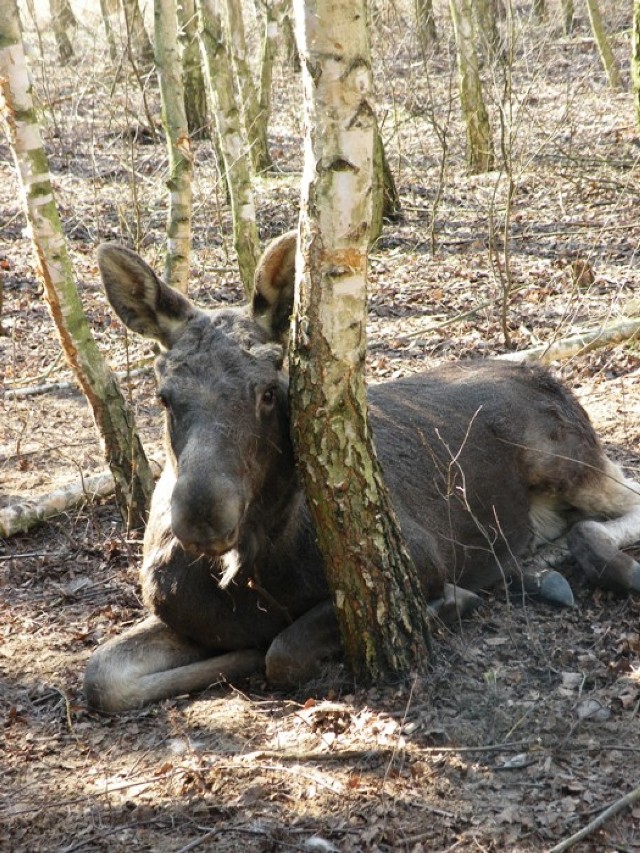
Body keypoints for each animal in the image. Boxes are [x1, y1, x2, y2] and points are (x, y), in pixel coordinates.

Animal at [85, 231, 640, 712]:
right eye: (165, 396)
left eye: (269, 391)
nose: (201, 515)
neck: (250, 564)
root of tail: (551, 377)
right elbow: (102, 675)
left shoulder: (421, 557)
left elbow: (282, 651)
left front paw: (453, 604)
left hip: (567, 460)